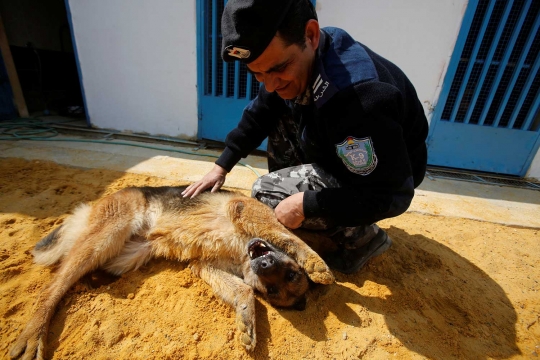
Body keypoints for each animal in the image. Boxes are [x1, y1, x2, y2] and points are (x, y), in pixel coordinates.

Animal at [10, 187, 336, 358]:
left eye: (274, 289)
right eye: (290, 274)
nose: (264, 266)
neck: (244, 252)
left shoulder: (205, 266)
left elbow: (242, 289)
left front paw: (246, 322)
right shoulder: (243, 209)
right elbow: (289, 237)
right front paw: (317, 264)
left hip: (127, 255)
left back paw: (94, 283)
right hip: (106, 236)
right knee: (53, 287)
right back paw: (32, 336)